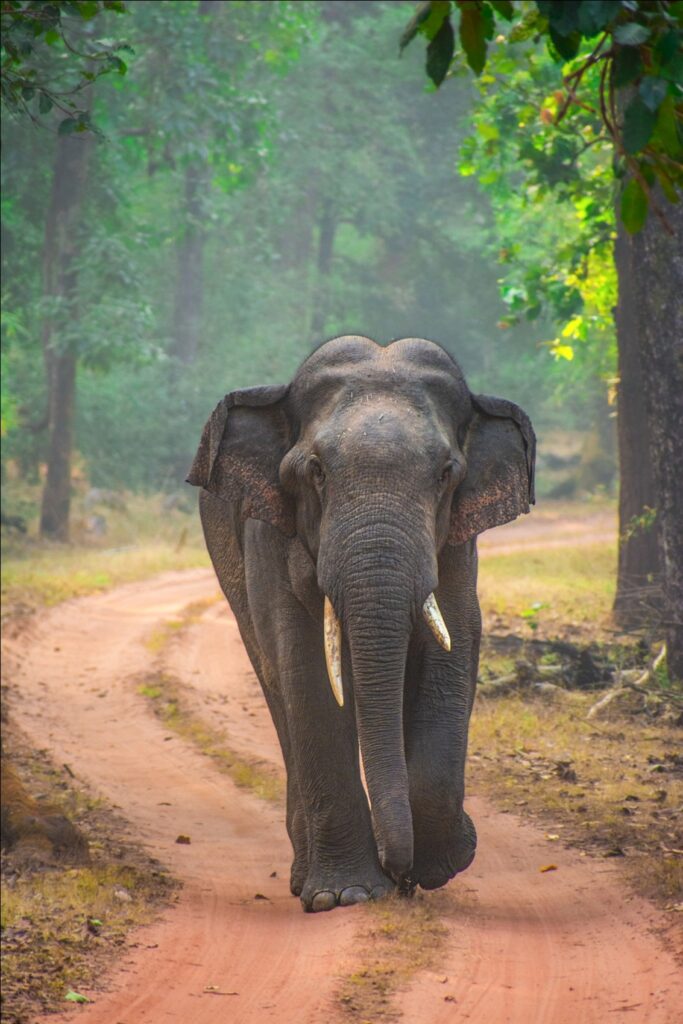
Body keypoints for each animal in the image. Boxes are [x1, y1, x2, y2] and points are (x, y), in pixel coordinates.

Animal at [187, 333, 532, 913]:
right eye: (316, 471)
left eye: (446, 474)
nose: (399, 872)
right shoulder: (269, 530)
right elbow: (303, 665)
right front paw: (344, 895)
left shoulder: (458, 542)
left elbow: (455, 647)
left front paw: (441, 865)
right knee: (276, 685)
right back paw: (306, 879)